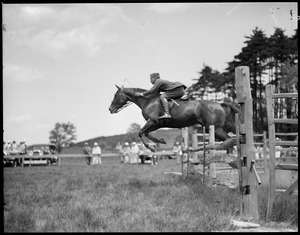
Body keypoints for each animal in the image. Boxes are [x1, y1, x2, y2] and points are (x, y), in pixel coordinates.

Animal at [109, 85, 240, 151]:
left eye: (116, 95)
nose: (110, 109)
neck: (148, 100)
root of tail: (220, 105)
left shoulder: (153, 121)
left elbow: (140, 133)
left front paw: (150, 148)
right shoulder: (157, 124)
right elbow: (146, 133)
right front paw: (160, 141)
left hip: (215, 129)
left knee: (230, 141)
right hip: (223, 128)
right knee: (231, 140)